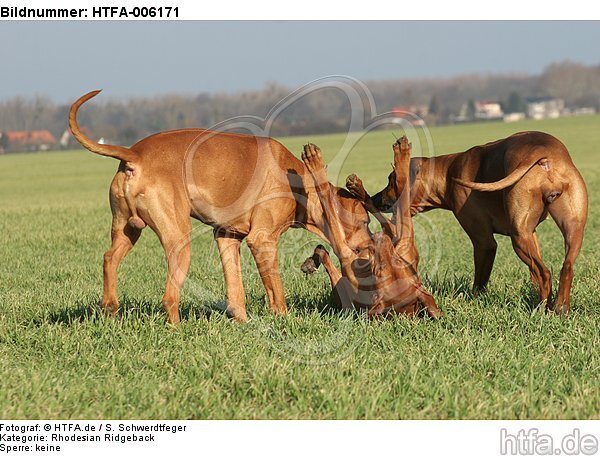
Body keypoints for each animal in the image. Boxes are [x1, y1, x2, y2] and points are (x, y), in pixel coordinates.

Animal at [68, 90, 372, 324]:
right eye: (366, 221)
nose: (372, 245)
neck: (300, 180)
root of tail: (135, 154)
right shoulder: (263, 240)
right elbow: (276, 289)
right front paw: (283, 319)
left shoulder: (227, 236)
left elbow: (236, 291)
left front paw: (244, 322)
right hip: (179, 240)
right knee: (169, 296)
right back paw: (176, 329)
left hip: (126, 228)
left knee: (109, 258)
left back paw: (111, 309)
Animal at [300, 137, 440, 318]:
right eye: (397, 262)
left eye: (380, 270)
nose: (380, 240)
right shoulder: (403, 248)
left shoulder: (344, 253)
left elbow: (327, 204)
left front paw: (314, 162)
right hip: (403, 243)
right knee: (392, 219)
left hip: (344, 287)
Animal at [372, 130, 588, 312]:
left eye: (391, 179)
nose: (374, 198)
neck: (448, 172)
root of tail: (542, 151)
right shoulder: (532, 234)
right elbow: (533, 273)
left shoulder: (484, 242)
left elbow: (480, 280)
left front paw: (474, 301)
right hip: (570, 228)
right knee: (566, 267)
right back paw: (560, 307)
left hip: (519, 237)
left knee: (545, 274)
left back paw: (541, 310)